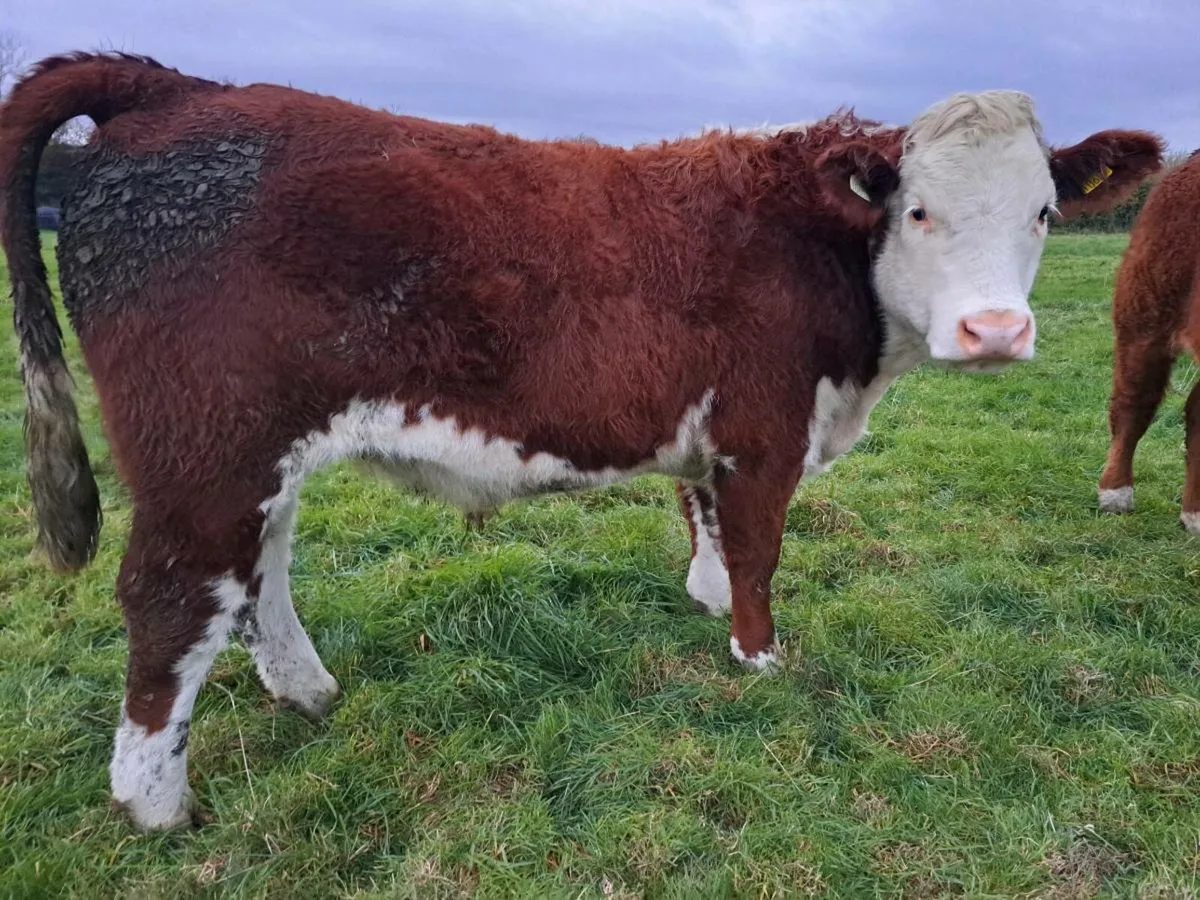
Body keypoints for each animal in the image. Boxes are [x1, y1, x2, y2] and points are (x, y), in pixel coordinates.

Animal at [0, 52, 1163, 831]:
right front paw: (759, 657)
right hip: (204, 448)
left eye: (1046, 212)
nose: (996, 332)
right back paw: (158, 805)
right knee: (171, 598)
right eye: (917, 211)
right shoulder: (765, 427)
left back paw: (308, 690)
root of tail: (179, 85)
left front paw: (707, 608)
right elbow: (758, 546)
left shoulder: (706, 431)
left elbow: (705, 523)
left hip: (257, 455)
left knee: (256, 575)